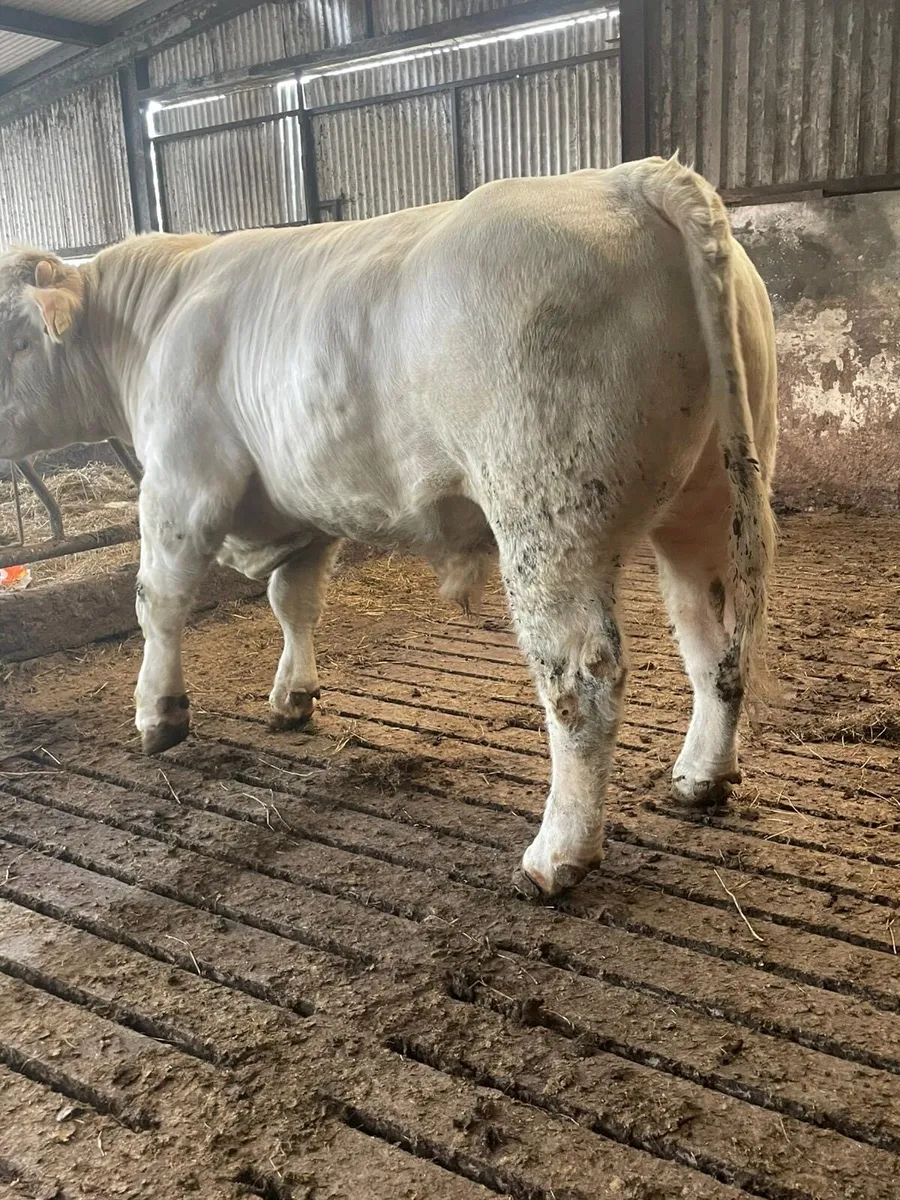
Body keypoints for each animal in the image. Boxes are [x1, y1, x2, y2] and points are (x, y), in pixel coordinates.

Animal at [0, 155, 776, 897]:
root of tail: (630, 177)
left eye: (13, 338)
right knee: (714, 639)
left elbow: (157, 603)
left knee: (583, 678)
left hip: (548, 518)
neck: (153, 318)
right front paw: (293, 698)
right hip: (707, 500)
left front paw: (157, 716)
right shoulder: (304, 505)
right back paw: (701, 774)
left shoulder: (181, 482)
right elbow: (293, 600)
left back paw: (557, 855)